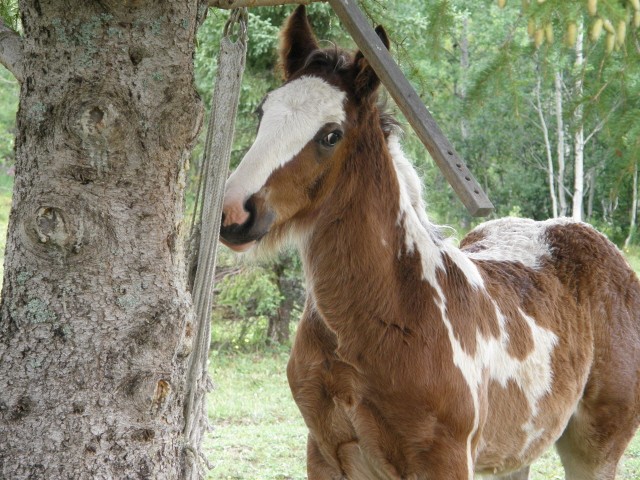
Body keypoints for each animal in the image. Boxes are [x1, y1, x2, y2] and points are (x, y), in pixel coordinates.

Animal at [220, 5, 640, 478]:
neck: (392, 308)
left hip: (596, 446)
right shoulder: (326, 453)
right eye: (262, 113)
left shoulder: (444, 458)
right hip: (516, 452)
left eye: (331, 135)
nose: (234, 213)